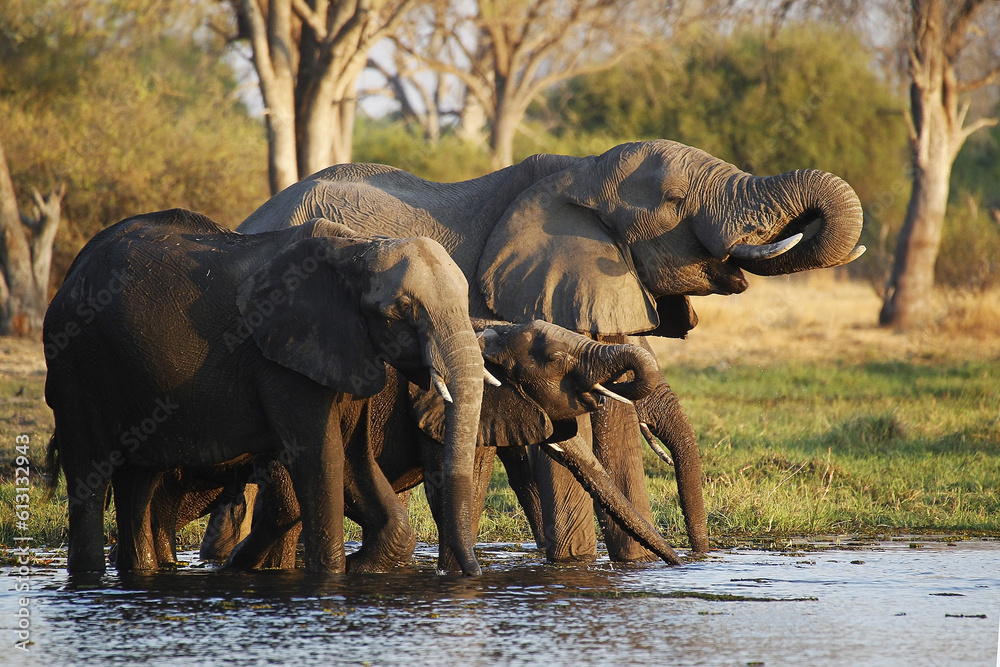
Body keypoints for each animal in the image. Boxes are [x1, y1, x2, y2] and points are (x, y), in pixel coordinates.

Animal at [42, 209, 487, 575]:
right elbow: (321, 459)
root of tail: (71, 272)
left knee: (138, 480)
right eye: (403, 310)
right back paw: (89, 577)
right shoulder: (283, 360)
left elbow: (354, 461)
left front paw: (362, 567)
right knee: (89, 475)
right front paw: (331, 575)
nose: (473, 574)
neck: (356, 246)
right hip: (75, 362)